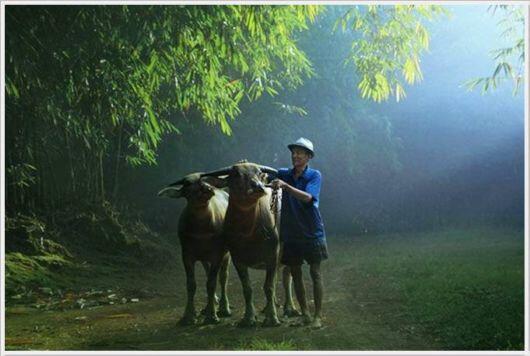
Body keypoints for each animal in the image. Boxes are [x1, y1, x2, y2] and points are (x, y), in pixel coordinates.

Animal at [158, 173, 230, 326]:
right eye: (188, 183)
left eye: (206, 180)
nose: (207, 188)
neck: (201, 230)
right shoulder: (186, 255)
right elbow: (191, 285)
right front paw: (189, 316)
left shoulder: (218, 254)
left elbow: (211, 283)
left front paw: (212, 316)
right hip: (203, 258)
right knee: (208, 273)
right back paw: (208, 306)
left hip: (226, 254)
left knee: (223, 277)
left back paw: (223, 308)